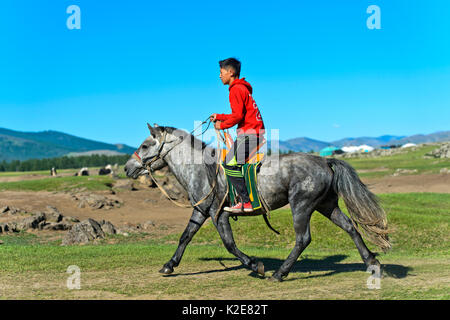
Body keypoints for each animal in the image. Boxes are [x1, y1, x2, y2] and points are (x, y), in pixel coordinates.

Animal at [124, 124, 390, 282]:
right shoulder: (201, 211)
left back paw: (280, 273)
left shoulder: (218, 214)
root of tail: (325, 161)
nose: (128, 168)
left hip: (302, 206)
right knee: (350, 227)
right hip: (326, 205)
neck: (200, 169)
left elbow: (230, 244)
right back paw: (372, 262)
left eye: (145, 145)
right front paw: (169, 265)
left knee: (303, 239)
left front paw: (255, 265)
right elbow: (185, 237)